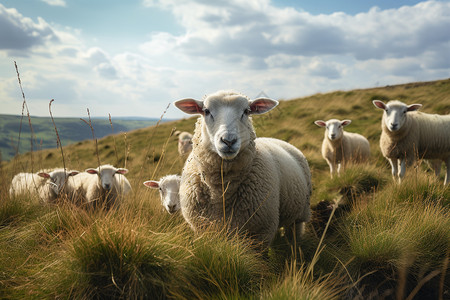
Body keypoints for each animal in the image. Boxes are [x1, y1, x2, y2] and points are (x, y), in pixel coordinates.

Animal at [174, 90, 312, 250]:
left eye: (246, 111)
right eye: (206, 111)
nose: (228, 141)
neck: (221, 193)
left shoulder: (261, 233)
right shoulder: (202, 228)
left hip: (301, 212)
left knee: (295, 231)